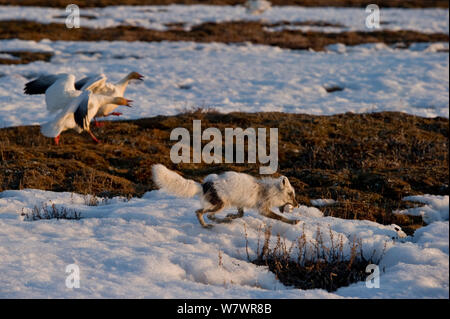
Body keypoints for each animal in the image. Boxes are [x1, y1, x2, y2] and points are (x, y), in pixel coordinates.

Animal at [151, 165, 298, 228]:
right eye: (291, 195)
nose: (298, 205)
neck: (268, 190)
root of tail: (204, 184)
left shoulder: (240, 203)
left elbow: (241, 214)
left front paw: (230, 216)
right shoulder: (263, 209)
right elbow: (280, 217)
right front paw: (293, 222)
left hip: (220, 205)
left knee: (210, 215)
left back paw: (224, 220)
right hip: (220, 205)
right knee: (200, 212)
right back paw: (206, 226)